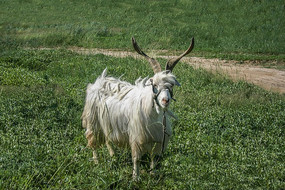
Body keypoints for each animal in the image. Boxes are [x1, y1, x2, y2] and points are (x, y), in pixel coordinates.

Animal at [81, 36, 194, 179]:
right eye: (154, 84)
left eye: (171, 85)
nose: (165, 100)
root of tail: (98, 81)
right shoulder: (136, 137)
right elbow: (137, 159)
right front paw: (136, 178)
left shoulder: (157, 140)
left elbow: (154, 159)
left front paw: (153, 175)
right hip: (93, 120)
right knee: (93, 141)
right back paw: (96, 161)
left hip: (107, 122)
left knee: (107, 139)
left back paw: (113, 156)